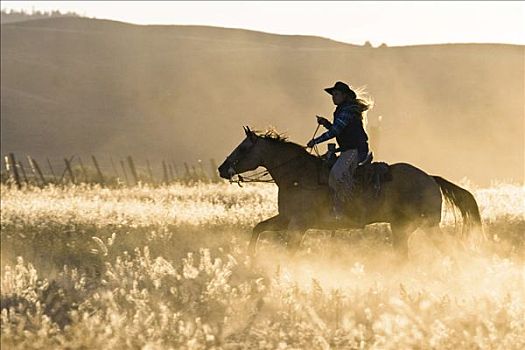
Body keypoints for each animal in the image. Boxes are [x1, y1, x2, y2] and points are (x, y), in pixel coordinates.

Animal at [218, 126, 484, 258]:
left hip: (424, 226)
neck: (297, 175)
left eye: (243, 148)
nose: (222, 168)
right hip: (401, 227)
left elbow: (289, 251)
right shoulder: (285, 219)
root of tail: (431, 179)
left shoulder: (298, 224)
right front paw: (251, 259)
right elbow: (257, 229)